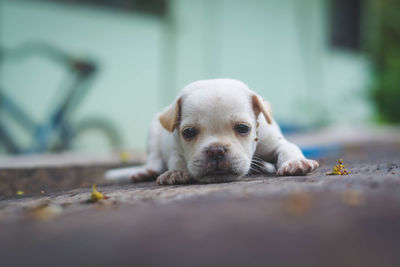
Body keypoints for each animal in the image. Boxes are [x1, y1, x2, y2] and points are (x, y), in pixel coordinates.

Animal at [105, 78, 318, 185]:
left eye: (243, 128)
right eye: (189, 132)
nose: (216, 151)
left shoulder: (274, 141)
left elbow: (287, 148)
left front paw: (295, 163)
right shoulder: (175, 148)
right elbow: (176, 159)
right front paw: (176, 172)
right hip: (153, 131)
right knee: (154, 157)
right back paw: (146, 171)